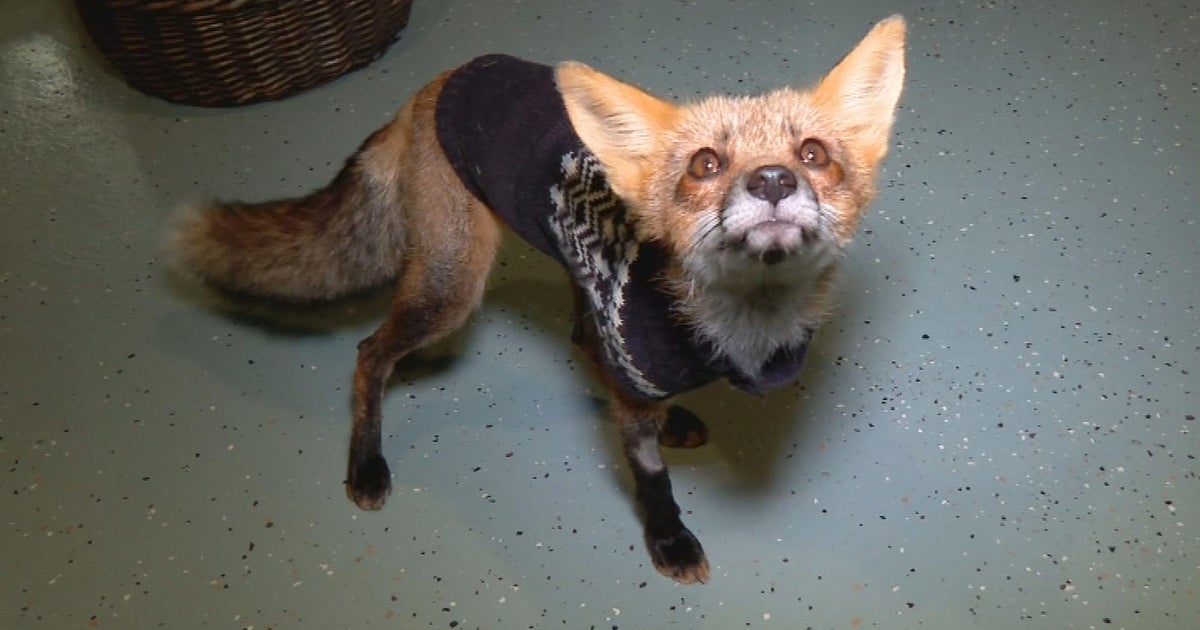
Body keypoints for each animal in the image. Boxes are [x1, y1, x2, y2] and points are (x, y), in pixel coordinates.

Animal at [168, 16, 906, 584]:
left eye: (813, 154)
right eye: (705, 165)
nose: (774, 180)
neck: (736, 331)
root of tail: (433, 84)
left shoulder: (631, 355)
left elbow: (623, 392)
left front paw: (665, 428)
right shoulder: (633, 379)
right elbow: (652, 480)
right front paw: (668, 540)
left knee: (581, 337)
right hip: (450, 290)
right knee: (369, 352)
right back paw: (367, 464)